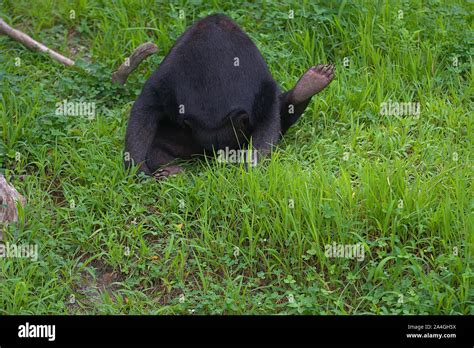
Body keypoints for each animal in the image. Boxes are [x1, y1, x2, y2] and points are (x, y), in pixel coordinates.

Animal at [124, 13, 336, 178]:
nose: (218, 155)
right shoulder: (170, 79)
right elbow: (144, 109)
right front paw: (139, 170)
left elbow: (269, 117)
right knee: (157, 146)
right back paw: (172, 172)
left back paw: (312, 81)